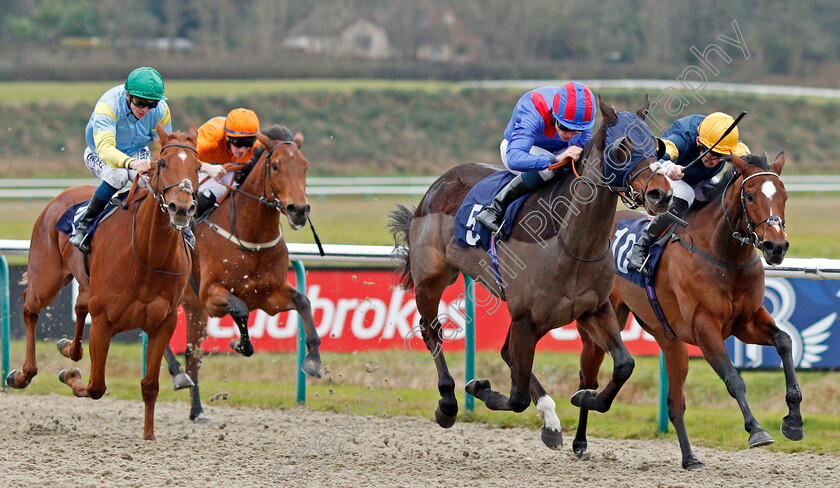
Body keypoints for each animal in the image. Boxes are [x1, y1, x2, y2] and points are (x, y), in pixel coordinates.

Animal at [7, 124, 200, 440]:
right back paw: (23, 374)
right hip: (46, 279)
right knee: (29, 307)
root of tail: (60, 197)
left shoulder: (164, 323)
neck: (149, 256)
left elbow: (150, 384)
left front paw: (149, 435)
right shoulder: (103, 322)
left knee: (79, 306)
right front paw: (69, 374)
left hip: (85, 285)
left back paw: (68, 349)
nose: (181, 208)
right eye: (162, 163)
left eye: (198, 167)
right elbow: (96, 386)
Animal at [163, 126, 322, 424]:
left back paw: (197, 410)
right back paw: (177, 374)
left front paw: (314, 360)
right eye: (275, 165)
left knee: (192, 354)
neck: (250, 235)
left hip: (192, 307)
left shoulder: (269, 296)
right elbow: (240, 308)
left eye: (305, 165)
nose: (299, 209)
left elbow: (303, 301)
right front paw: (239, 343)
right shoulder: (211, 295)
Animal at [390, 96, 672, 450]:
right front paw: (478, 387)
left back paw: (551, 422)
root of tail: (441, 182)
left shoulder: (594, 309)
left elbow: (624, 365)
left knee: (504, 353)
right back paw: (448, 403)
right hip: (432, 278)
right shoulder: (526, 319)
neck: (572, 243)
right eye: (623, 147)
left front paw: (584, 398)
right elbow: (517, 397)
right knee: (431, 330)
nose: (661, 194)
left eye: (657, 146)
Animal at [576, 152, 804, 468]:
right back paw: (580, 430)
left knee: (674, 403)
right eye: (749, 195)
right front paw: (756, 430)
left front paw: (793, 420)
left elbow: (784, 341)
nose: (776, 246)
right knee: (588, 376)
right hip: (601, 321)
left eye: (784, 195)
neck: (723, 255)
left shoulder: (747, 322)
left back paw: (689, 458)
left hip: (670, 340)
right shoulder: (704, 327)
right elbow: (733, 378)